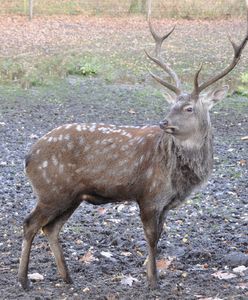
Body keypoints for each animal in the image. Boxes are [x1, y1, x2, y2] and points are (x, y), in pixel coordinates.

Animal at [17, 14, 248, 290]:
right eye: (171, 104)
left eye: (189, 108)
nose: (164, 122)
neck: (178, 178)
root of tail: (29, 156)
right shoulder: (149, 195)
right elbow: (151, 237)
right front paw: (153, 280)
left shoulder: (165, 203)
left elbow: (160, 235)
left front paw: (152, 275)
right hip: (51, 190)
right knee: (30, 223)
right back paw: (23, 280)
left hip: (70, 196)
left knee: (51, 228)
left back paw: (66, 276)